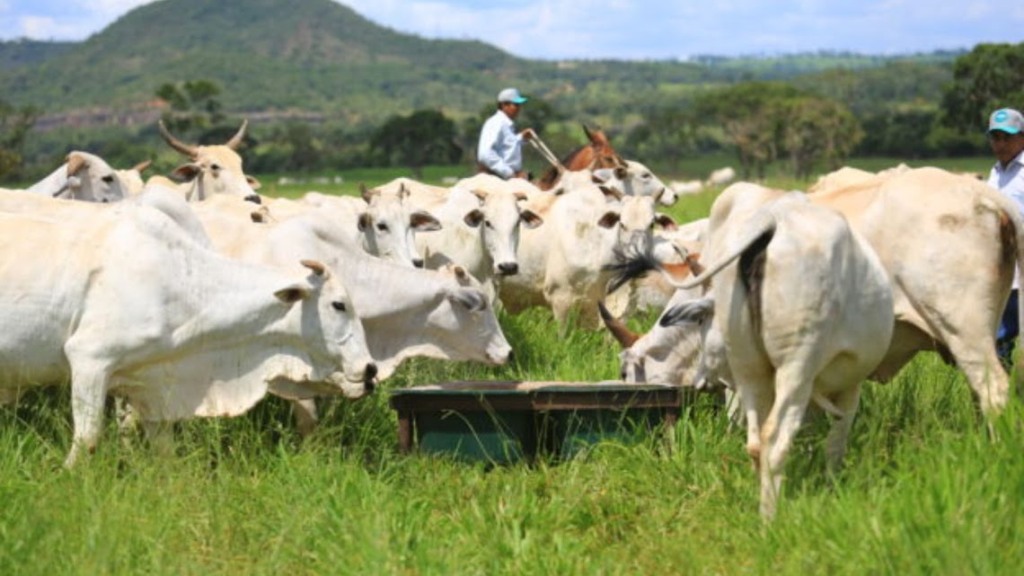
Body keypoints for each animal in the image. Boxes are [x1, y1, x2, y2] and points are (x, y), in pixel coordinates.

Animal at [0, 192, 376, 467]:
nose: (370, 369)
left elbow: (165, 452)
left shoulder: (149, 386)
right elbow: (88, 439)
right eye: (339, 305)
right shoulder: (90, 359)